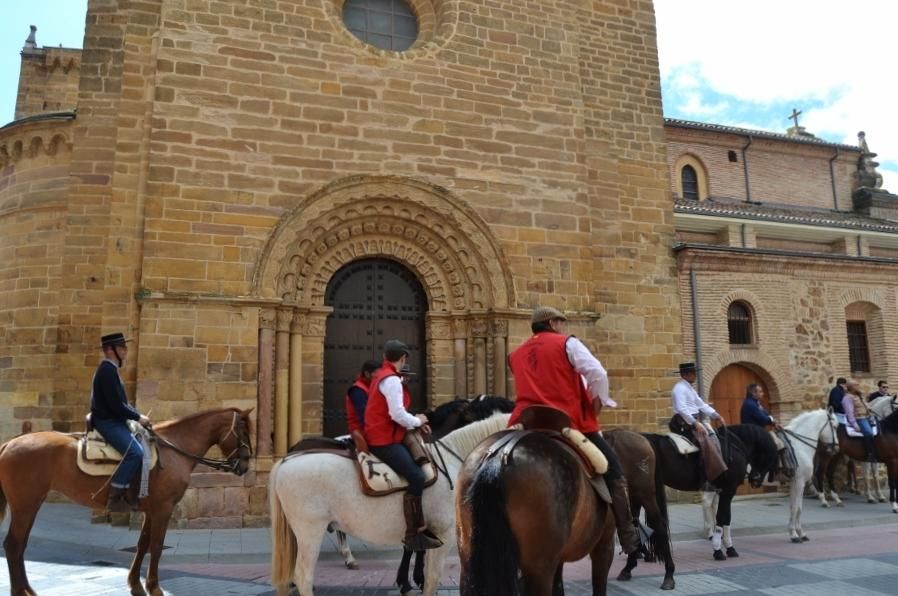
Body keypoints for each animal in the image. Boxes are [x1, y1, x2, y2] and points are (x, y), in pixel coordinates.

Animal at [0, 408, 252, 596]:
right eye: (243, 430)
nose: (246, 464)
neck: (174, 449)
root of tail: (9, 444)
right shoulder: (163, 509)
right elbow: (156, 546)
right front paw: (154, 587)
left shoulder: (151, 510)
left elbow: (142, 545)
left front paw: (136, 584)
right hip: (25, 505)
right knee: (13, 545)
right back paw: (19, 590)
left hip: (31, 504)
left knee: (20, 545)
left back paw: (28, 589)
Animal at [600, 428, 672, 592]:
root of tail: (644, 438)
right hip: (634, 493)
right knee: (633, 523)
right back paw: (629, 567)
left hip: (645, 493)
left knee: (659, 526)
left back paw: (669, 575)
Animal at [644, 424, 776, 560]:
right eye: (770, 458)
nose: (756, 480)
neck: (735, 445)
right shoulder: (728, 490)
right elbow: (723, 516)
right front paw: (720, 549)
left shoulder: (721, 490)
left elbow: (724, 516)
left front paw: (727, 546)